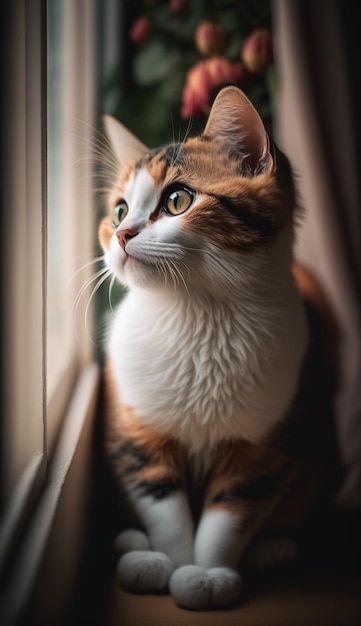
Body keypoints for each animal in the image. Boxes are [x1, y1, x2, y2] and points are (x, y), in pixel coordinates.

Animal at [97, 85, 338, 608]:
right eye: (120, 210)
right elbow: (164, 507)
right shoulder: (138, 434)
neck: (197, 316)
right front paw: (171, 562)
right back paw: (136, 547)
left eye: (177, 199)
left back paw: (272, 547)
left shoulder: (263, 446)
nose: (122, 234)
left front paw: (208, 573)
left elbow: (231, 512)